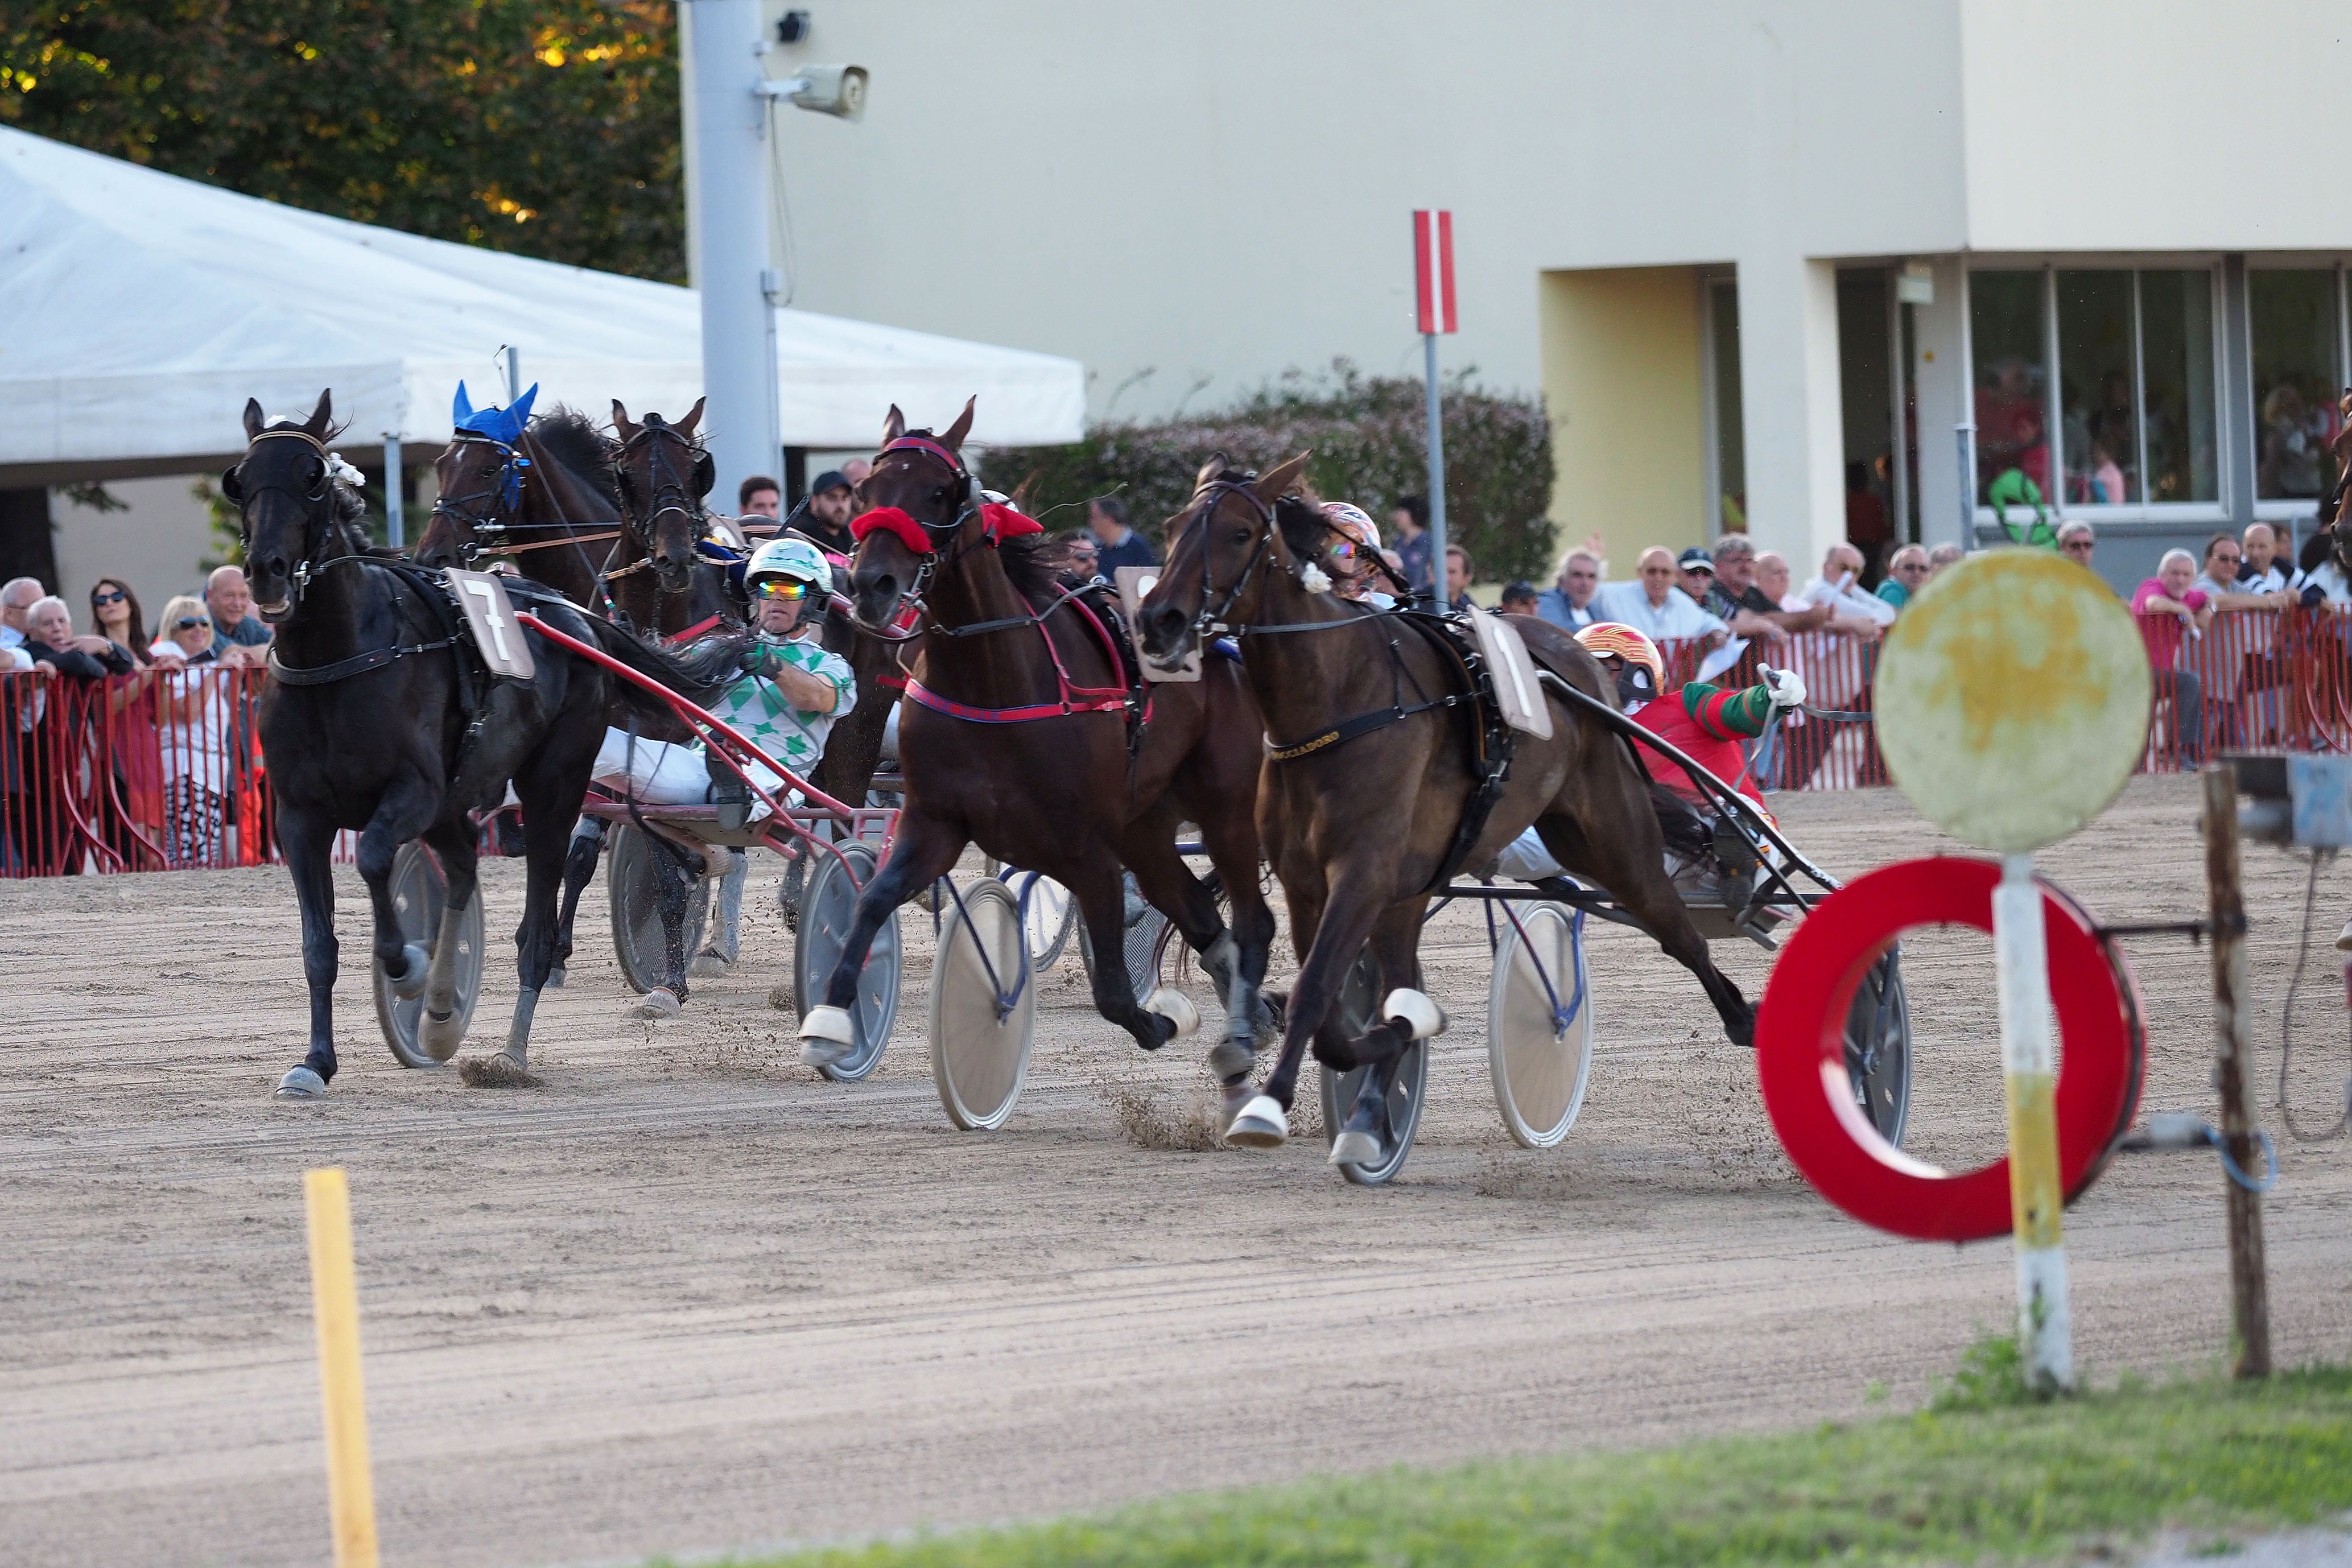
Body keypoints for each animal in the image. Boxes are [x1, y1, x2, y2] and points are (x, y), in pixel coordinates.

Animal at [236, 393, 724, 1100]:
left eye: (313, 477)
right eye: (240, 479)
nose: (266, 570)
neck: (338, 656)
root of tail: (579, 622)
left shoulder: (413, 792)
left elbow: (376, 858)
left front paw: (406, 967)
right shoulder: (299, 817)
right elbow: (318, 946)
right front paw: (315, 1062)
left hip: (553, 787)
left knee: (538, 925)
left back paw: (511, 1051)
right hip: (461, 803)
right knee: (466, 867)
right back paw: (442, 1016)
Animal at [799, 402, 1279, 1081]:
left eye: (940, 492)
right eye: (866, 493)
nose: (872, 585)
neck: (994, 682)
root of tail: (1216, 633)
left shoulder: (1088, 851)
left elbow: (1113, 991)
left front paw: (1167, 1017)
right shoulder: (933, 824)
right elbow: (869, 903)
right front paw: (831, 1019)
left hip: (1222, 807)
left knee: (1238, 908)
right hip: (1146, 825)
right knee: (1196, 907)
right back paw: (1256, 1009)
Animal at [1129, 453, 1759, 1166]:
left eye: (1239, 533)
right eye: (1173, 526)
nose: (1158, 618)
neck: (1337, 700)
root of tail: (1575, 660)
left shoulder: (1363, 872)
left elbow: (1319, 989)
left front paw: (1268, 1103)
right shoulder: (1312, 881)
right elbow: (1337, 1013)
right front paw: (1394, 1032)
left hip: (1611, 840)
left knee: (1678, 929)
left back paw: (1746, 1013)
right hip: (1423, 885)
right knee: (1399, 969)